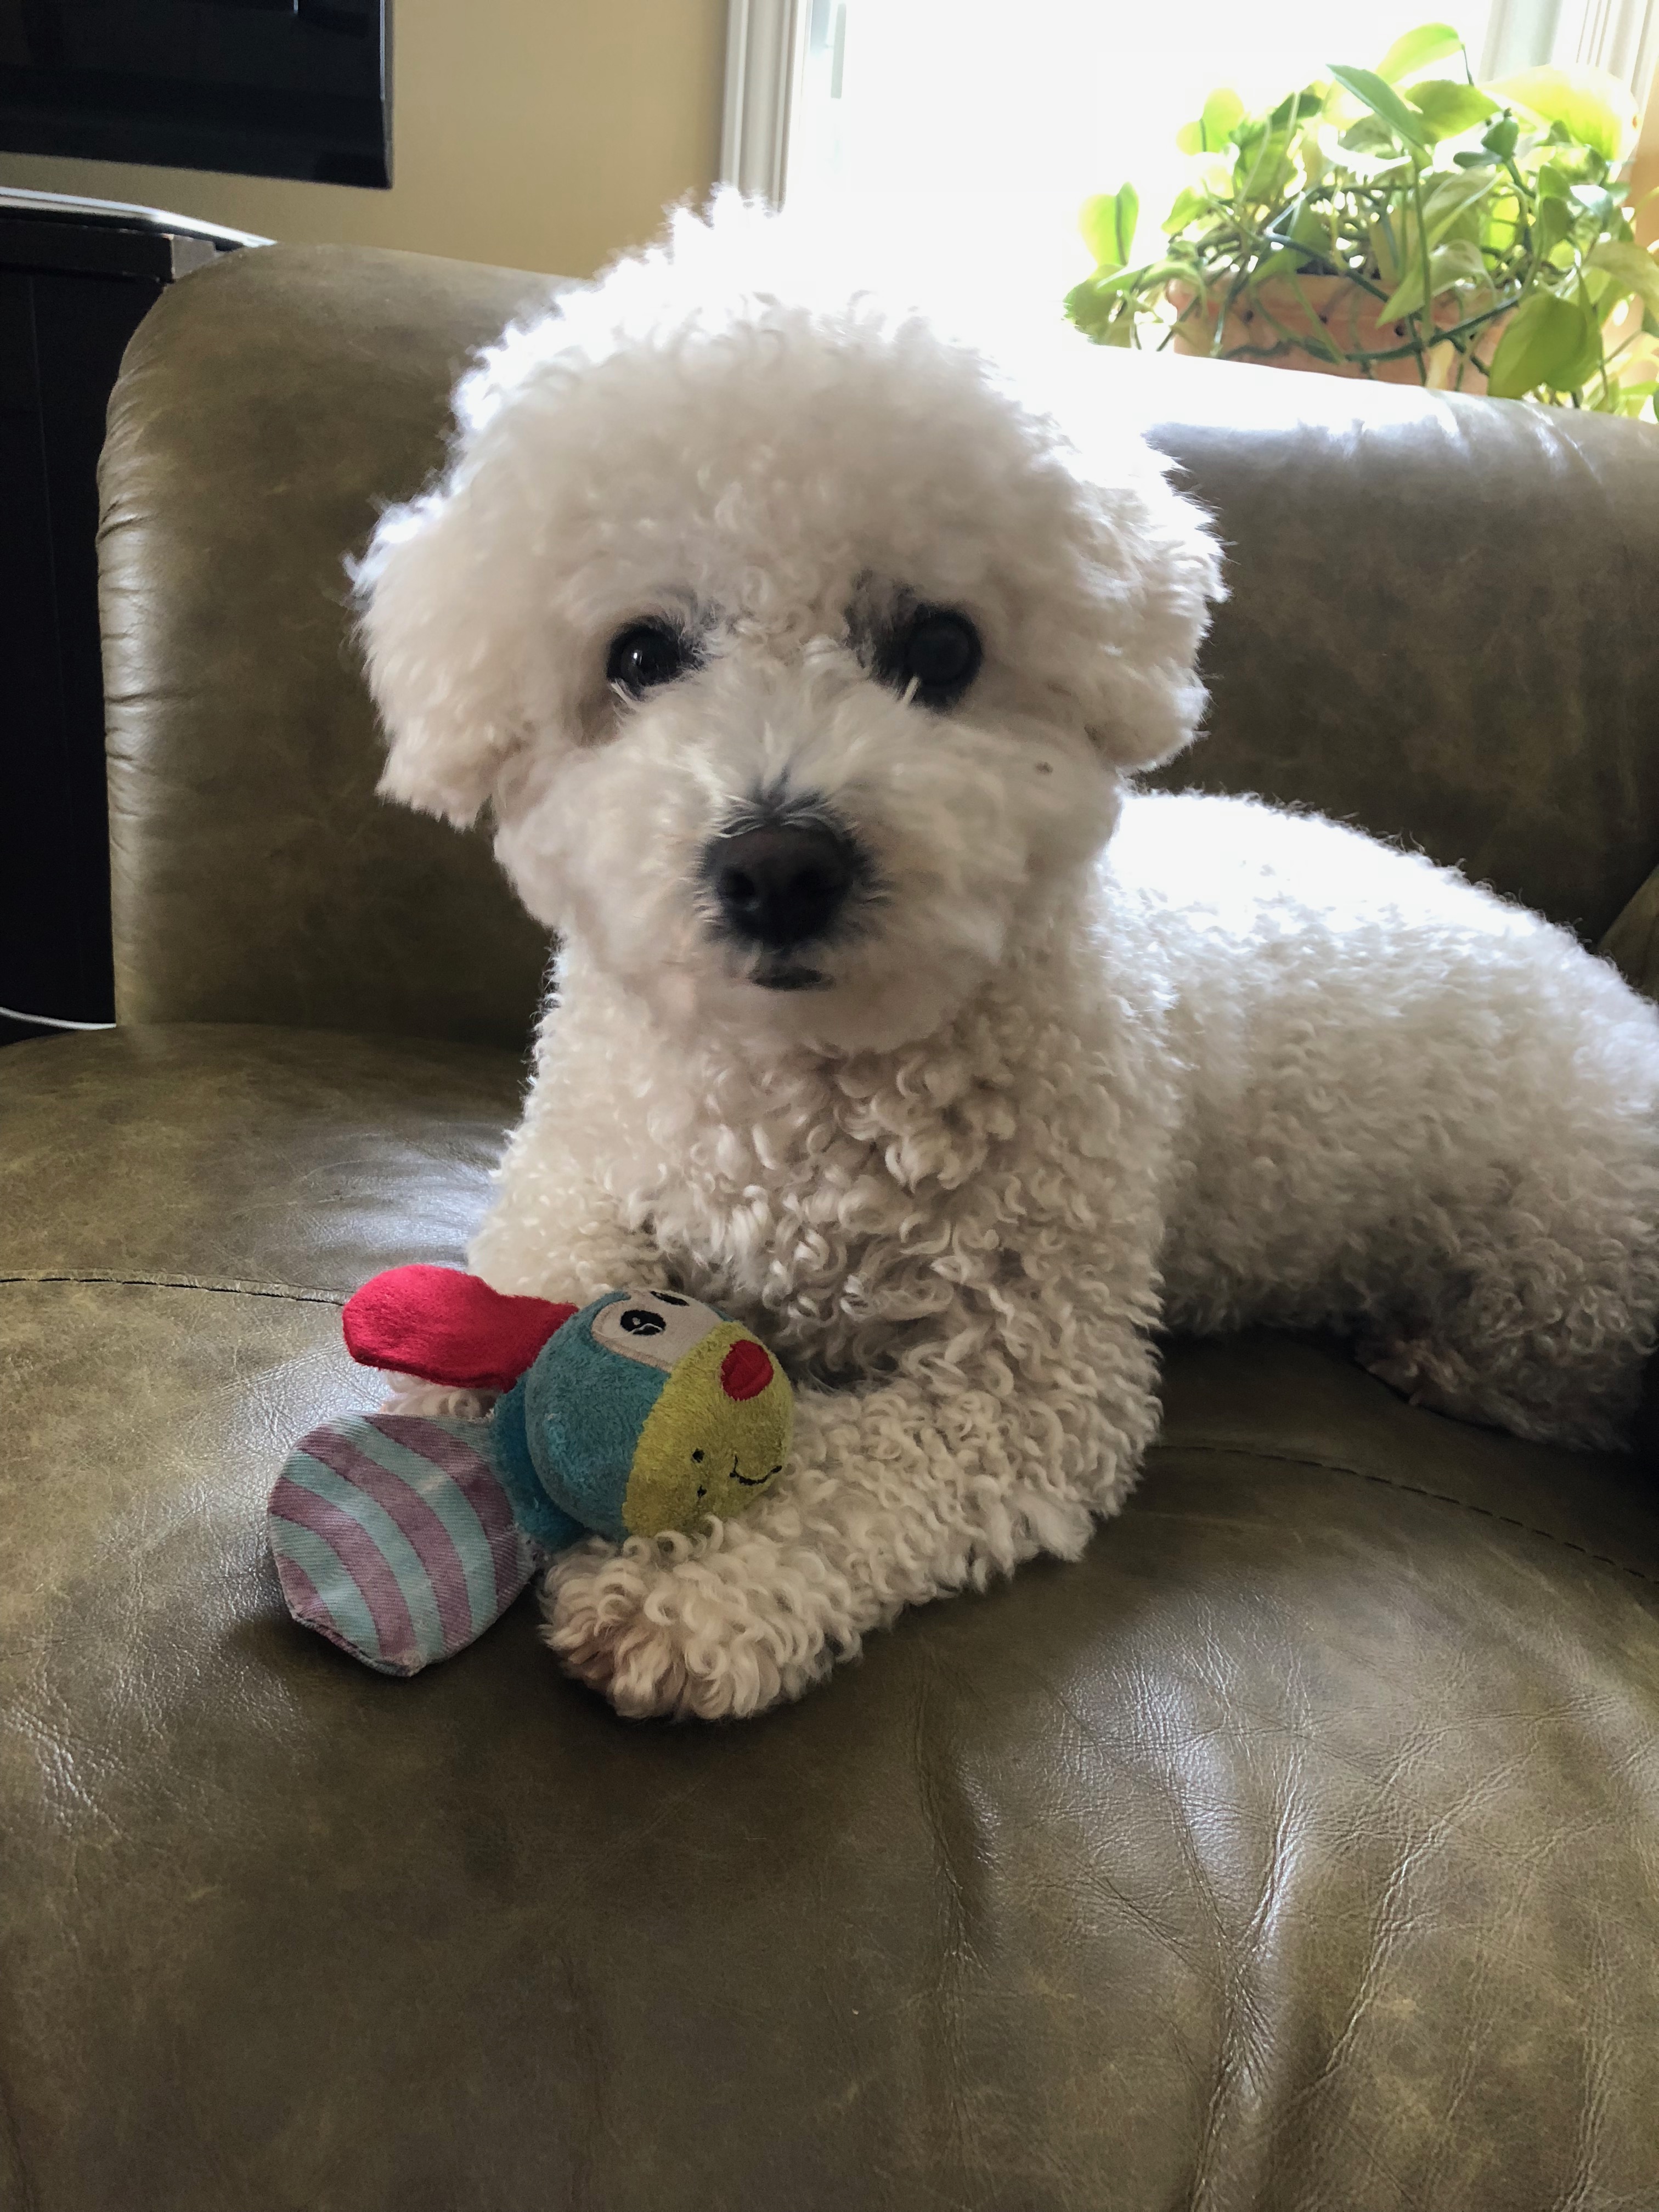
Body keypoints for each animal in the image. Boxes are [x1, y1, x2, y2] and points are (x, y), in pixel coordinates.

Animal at [358, 203, 1659, 1725]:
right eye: (639, 655)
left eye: (940, 646)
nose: (780, 866)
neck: (805, 1092)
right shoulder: (581, 1178)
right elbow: (527, 1280)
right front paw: (442, 1397)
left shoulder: (1028, 1388)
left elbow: (847, 1475)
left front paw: (689, 1594)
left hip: (1564, 1261)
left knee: (1565, 1386)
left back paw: (1432, 1359)